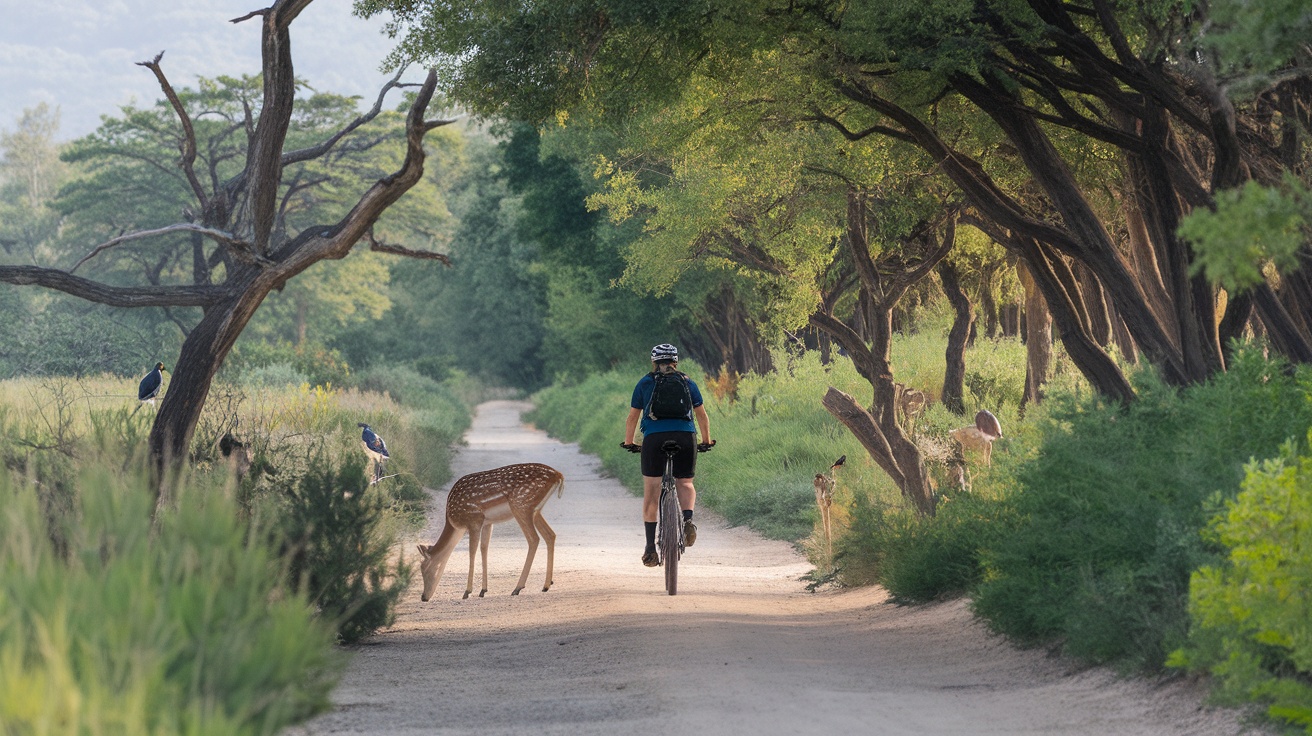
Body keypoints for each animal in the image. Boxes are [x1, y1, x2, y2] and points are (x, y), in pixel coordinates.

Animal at [414, 461, 564, 600]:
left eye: (423, 568)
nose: (423, 597)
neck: (454, 522)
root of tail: (558, 475)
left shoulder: (474, 519)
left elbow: (472, 551)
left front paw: (467, 592)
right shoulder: (487, 522)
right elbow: (484, 548)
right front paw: (483, 591)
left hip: (521, 505)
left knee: (534, 538)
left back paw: (517, 588)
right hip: (535, 510)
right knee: (550, 535)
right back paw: (546, 585)